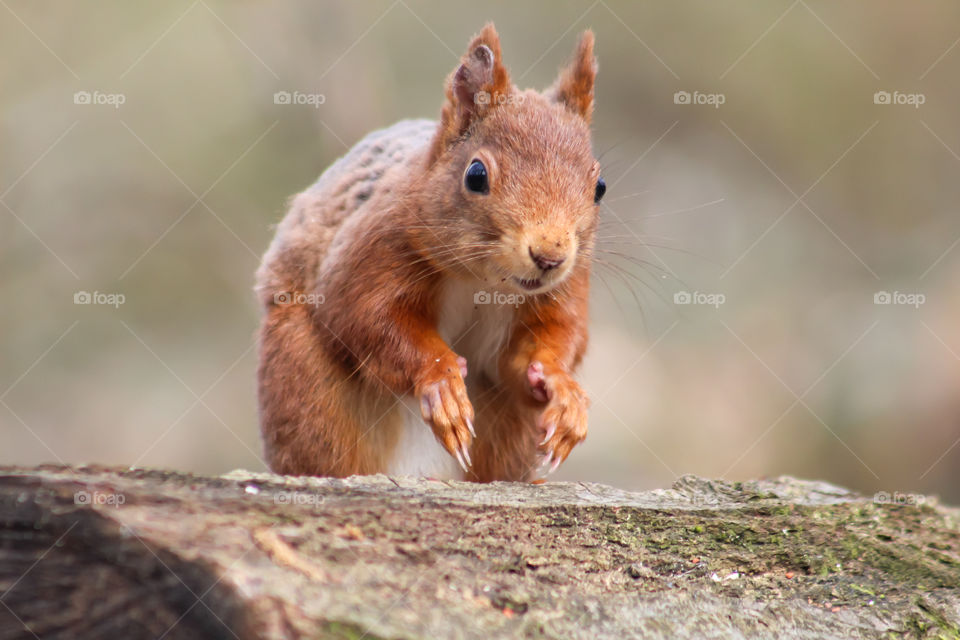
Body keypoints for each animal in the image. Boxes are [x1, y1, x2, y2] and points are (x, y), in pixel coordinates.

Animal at [255, 23, 604, 482]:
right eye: (476, 175)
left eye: (600, 188)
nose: (550, 256)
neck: (483, 281)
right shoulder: (373, 250)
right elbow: (366, 318)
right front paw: (441, 381)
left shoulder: (565, 289)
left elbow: (547, 345)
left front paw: (563, 390)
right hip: (305, 387)